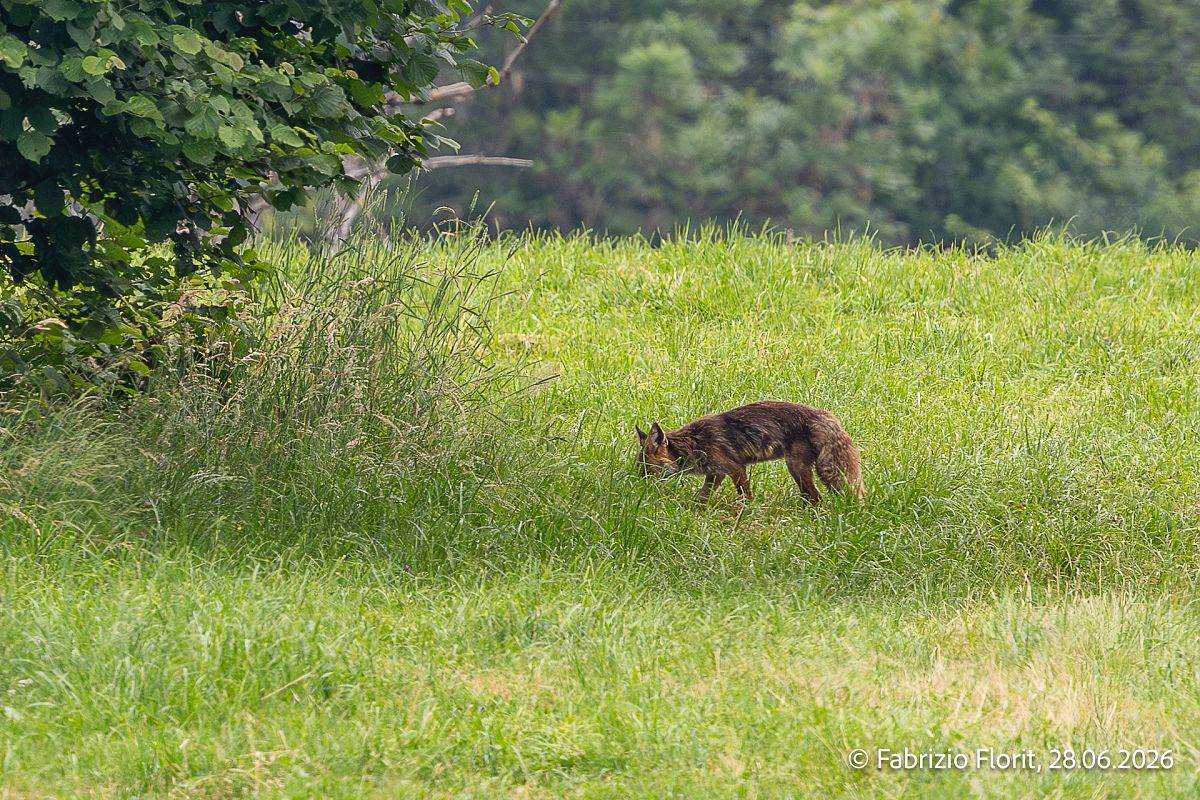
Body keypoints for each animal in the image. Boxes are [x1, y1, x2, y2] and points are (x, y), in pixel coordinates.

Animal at [636, 400, 864, 504]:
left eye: (646, 468)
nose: (636, 485)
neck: (695, 442)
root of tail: (825, 415)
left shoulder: (736, 468)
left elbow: (746, 496)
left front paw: (746, 511)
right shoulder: (716, 474)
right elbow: (702, 497)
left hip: (797, 467)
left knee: (817, 498)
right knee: (813, 497)